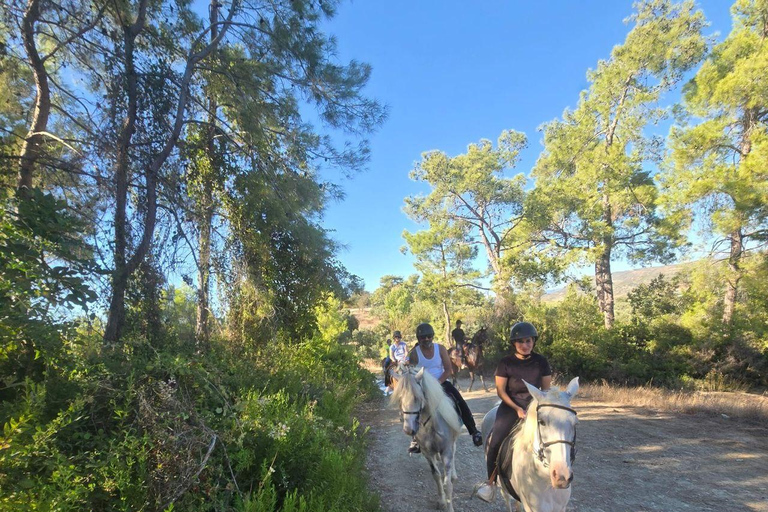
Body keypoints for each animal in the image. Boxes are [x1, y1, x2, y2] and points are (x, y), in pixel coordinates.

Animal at [391, 365, 462, 512]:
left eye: (418, 398)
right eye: (400, 399)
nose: (409, 429)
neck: (431, 426)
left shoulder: (446, 451)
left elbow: (447, 483)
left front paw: (449, 507)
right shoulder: (426, 452)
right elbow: (436, 475)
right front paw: (441, 502)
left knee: (454, 453)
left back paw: (454, 474)